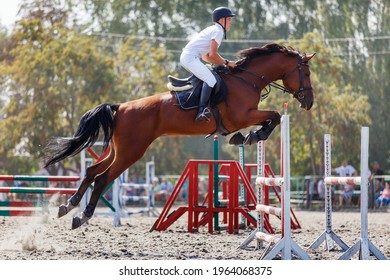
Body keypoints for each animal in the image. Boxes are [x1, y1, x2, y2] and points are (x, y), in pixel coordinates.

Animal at [44, 42, 316, 230]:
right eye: (306, 74)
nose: (309, 102)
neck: (247, 79)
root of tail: (120, 107)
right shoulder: (242, 116)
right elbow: (275, 115)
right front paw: (253, 135)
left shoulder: (246, 116)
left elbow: (272, 117)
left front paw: (246, 137)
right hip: (132, 152)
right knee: (102, 178)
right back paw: (83, 215)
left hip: (118, 150)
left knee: (92, 172)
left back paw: (68, 206)